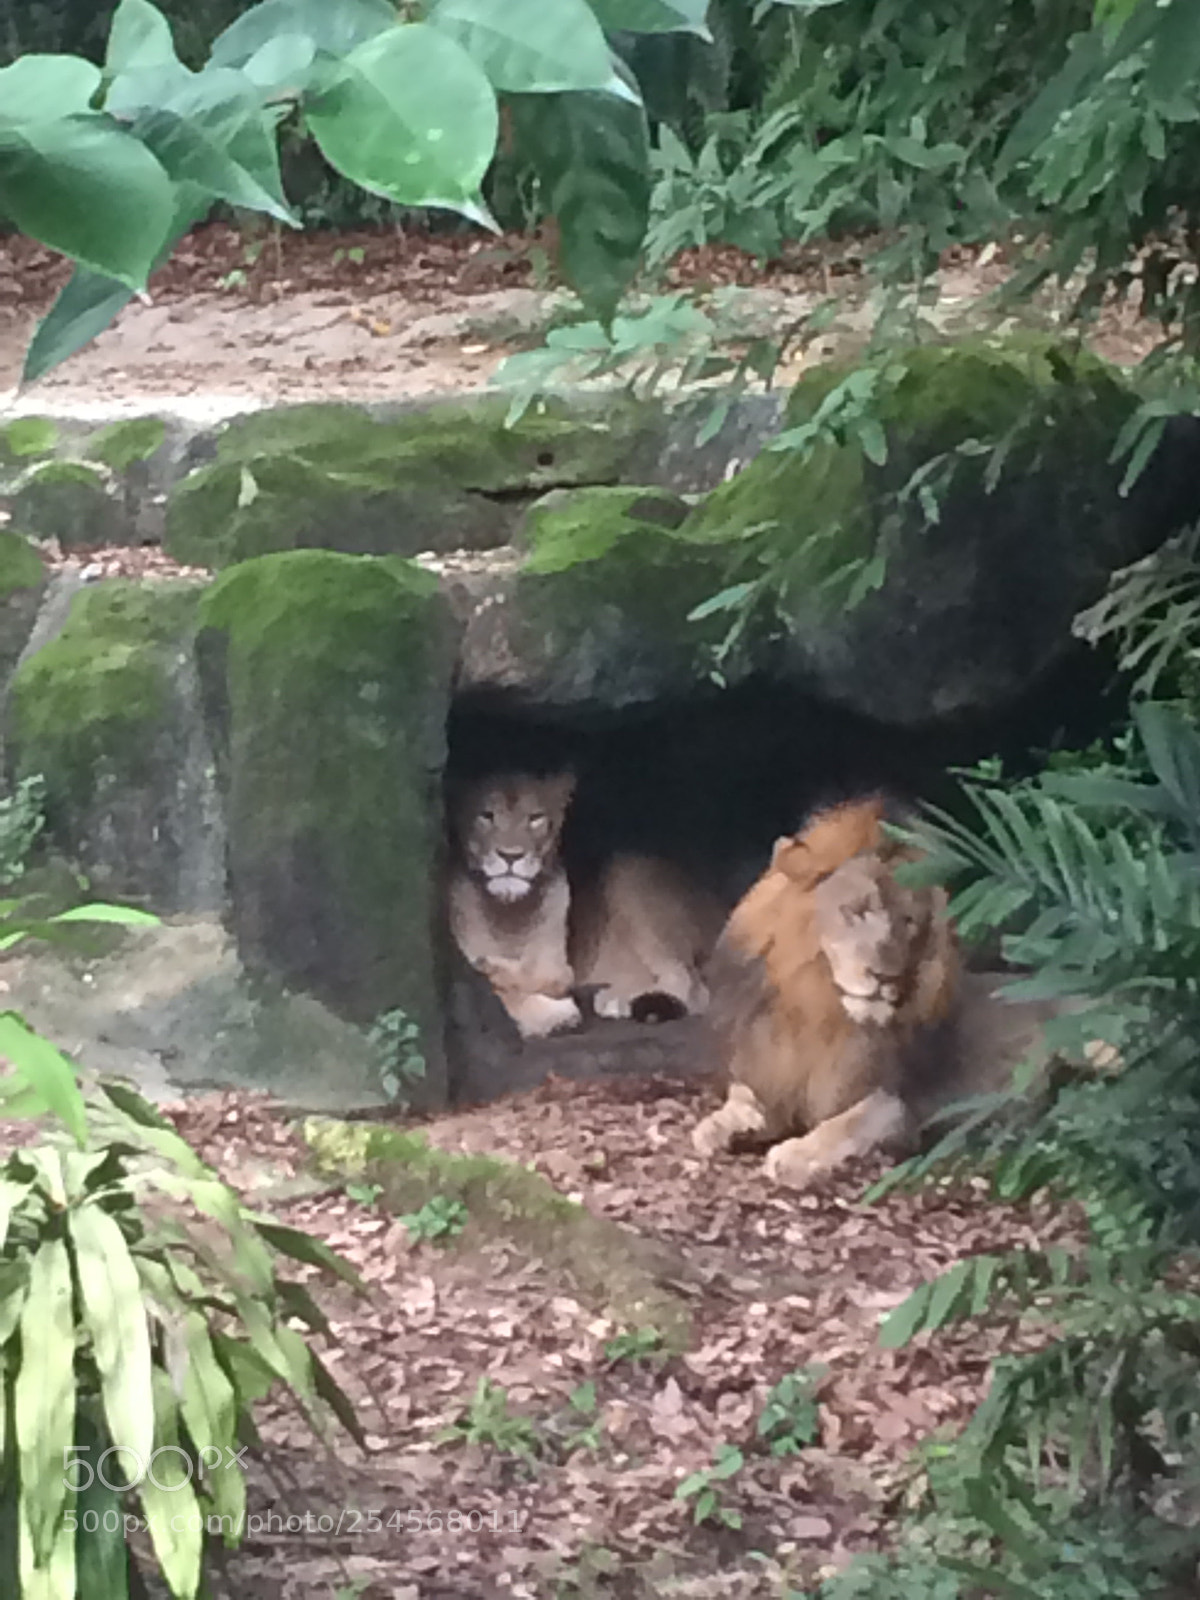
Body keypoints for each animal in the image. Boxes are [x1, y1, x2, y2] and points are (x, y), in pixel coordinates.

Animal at [448, 771, 722, 1040]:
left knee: (693, 986)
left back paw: (617, 1000)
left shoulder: (556, 964)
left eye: (535, 818)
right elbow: (506, 990)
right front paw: (549, 1015)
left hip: (626, 871)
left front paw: (556, 1013)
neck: (509, 909)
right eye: (486, 815)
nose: (511, 855)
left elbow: (546, 976)